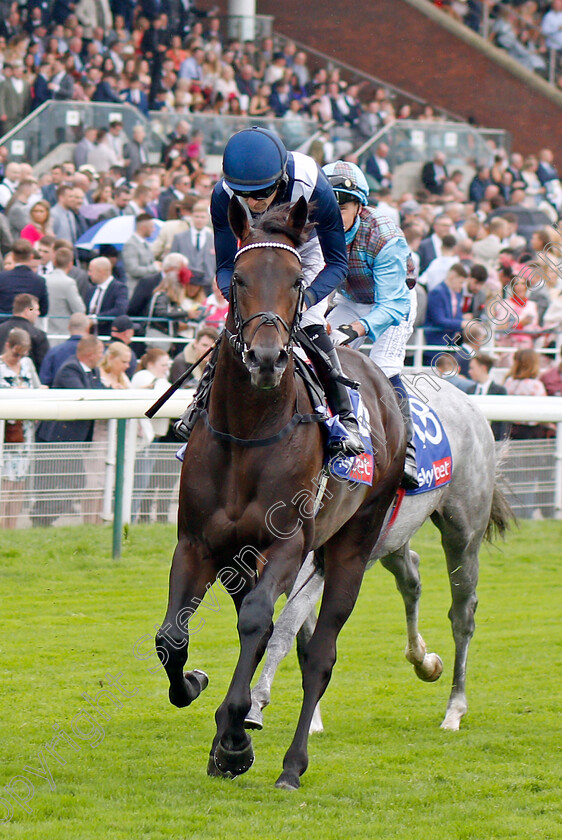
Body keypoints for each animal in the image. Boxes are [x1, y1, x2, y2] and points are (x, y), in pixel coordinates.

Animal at [155, 197, 404, 788]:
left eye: (296, 282)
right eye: (238, 279)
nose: (266, 359)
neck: (248, 432)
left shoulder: (288, 543)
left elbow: (258, 623)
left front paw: (233, 739)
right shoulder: (198, 544)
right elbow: (173, 636)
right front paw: (197, 687)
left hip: (354, 543)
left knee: (321, 655)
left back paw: (292, 765)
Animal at [245, 378, 512, 732]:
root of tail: (465, 400)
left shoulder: (319, 562)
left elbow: (287, 629)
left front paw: (256, 703)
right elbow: (302, 635)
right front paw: (312, 720)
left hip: (462, 533)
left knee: (462, 614)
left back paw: (454, 709)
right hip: (390, 539)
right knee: (411, 578)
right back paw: (423, 660)